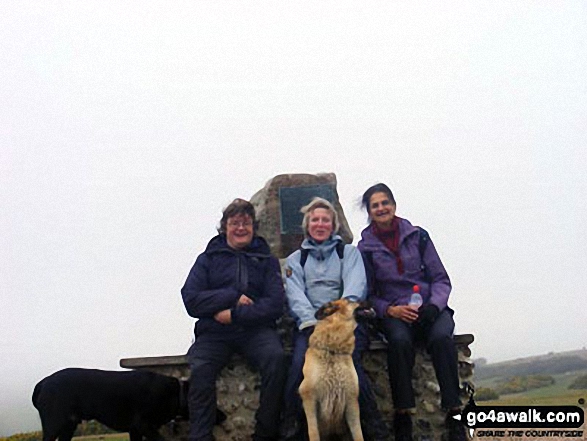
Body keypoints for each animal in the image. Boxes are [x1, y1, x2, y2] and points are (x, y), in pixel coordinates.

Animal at [32, 366, 189, 440]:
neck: (177, 392)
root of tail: (43, 382)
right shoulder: (143, 425)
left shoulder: (135, 430)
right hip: (54, 426)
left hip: (68, 427)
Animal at [298, 300, 372, 440]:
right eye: (351, 300)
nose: (369, 301)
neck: (333, 352)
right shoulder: (309, 398)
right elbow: (313, 432)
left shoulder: (351, 401)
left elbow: (358, 433)